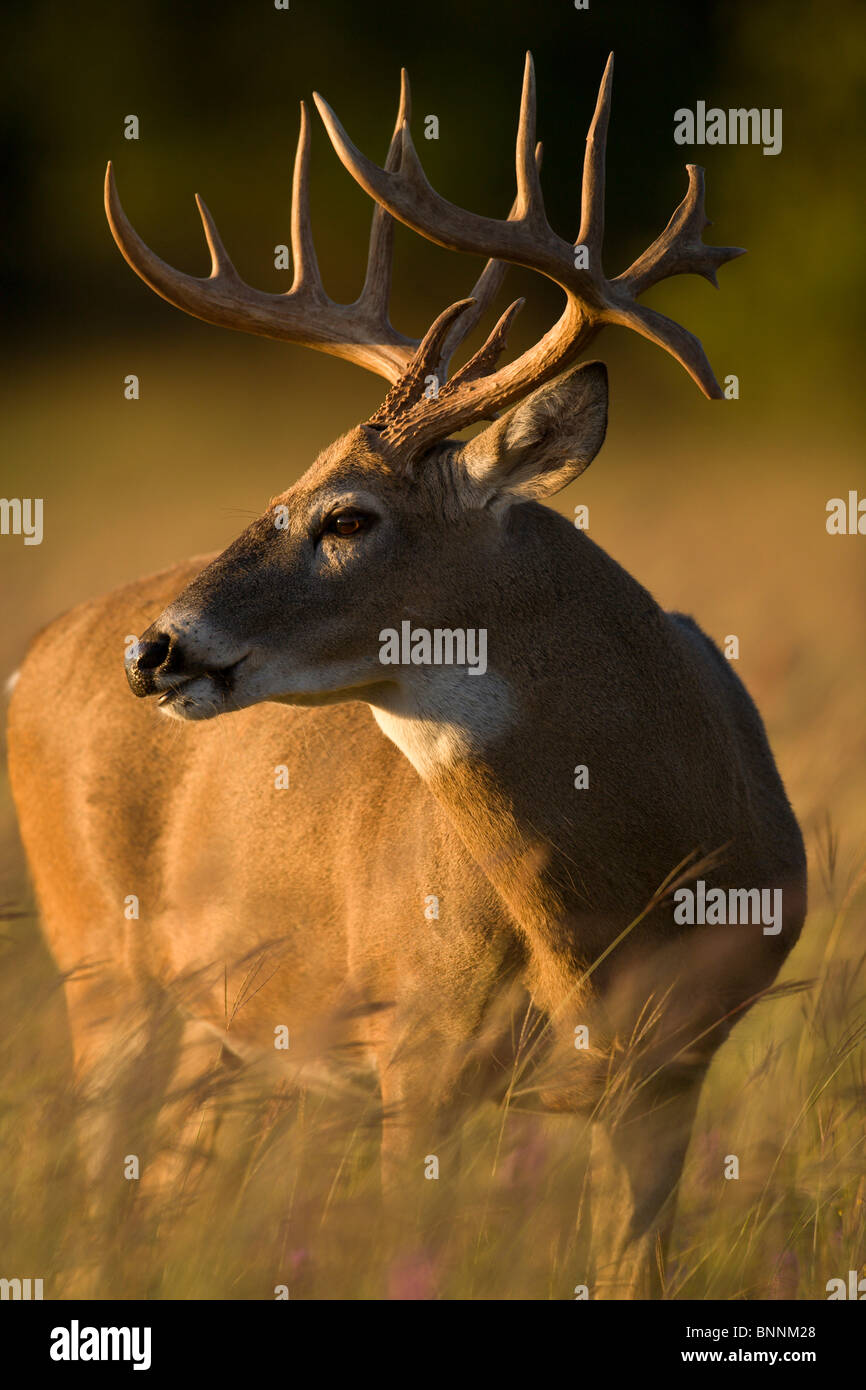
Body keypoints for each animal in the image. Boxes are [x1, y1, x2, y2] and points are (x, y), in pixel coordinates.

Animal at [6, 51, 811, 1289]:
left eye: (346, 513)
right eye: (288, 481)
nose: (154, 648)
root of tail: (43, 644)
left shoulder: (670, 1069)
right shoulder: (414, 1051)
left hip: (223, 1025)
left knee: (171, 1184)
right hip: (99, 962)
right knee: (104, 1199)